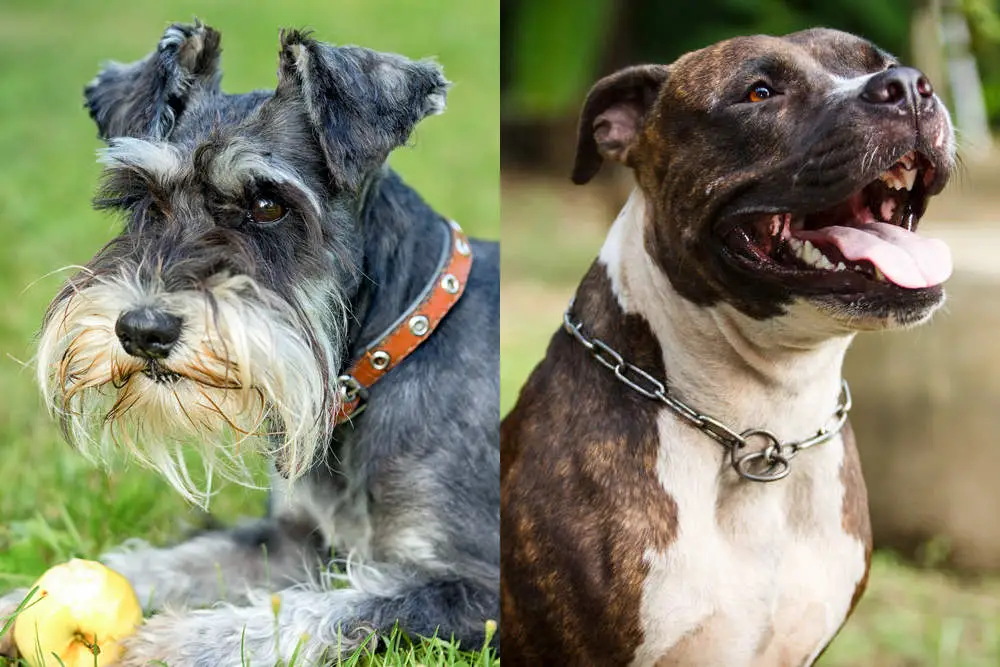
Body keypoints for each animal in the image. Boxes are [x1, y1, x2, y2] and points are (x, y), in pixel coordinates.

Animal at [0, 20, 500, 667]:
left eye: (267, 204)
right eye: (145, 199)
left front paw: (174, 641)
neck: (387, 354)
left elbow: (326, 612)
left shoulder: (473, 587)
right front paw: (21, 601)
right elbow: (177, 561)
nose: (143, 330)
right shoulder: (290, 541)